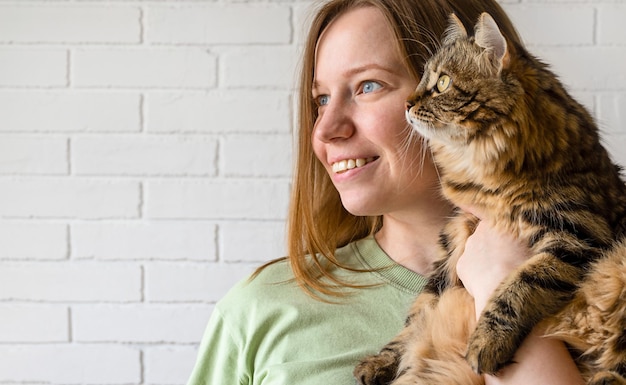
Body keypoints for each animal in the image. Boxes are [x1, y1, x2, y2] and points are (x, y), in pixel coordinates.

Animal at [354, 12, 624, 384]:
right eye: (424, 78)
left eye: (442, 83)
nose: (406, 104)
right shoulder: (451, 246)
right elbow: (417, 316)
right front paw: (382, 361)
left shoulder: (578, 235)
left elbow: (521, 286)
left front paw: (486, 342)